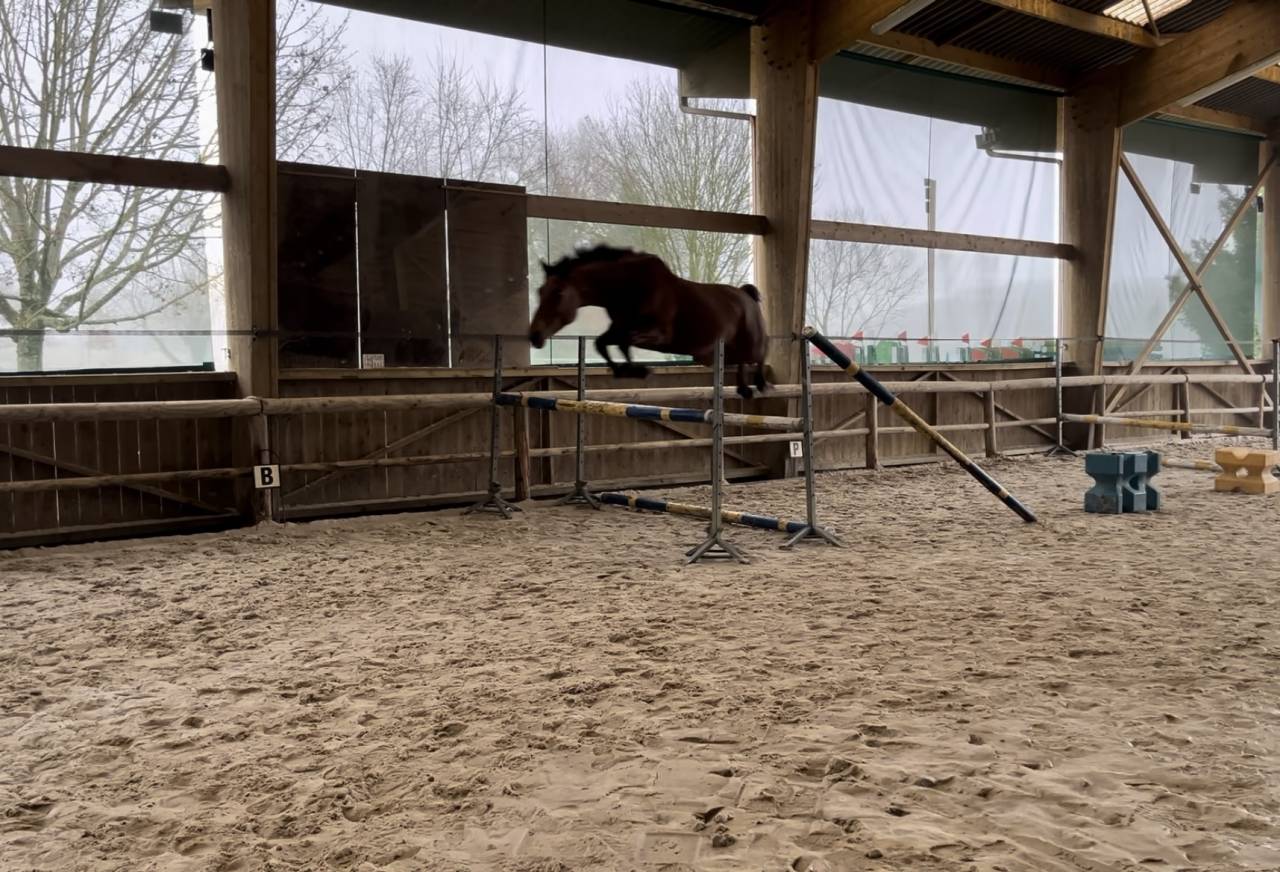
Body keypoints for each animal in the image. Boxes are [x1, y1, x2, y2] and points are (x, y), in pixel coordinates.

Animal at [527, 245, 770, 399]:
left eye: (558, 293)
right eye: (540, 291)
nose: (534, 336)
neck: (629, 286)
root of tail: (745, 294)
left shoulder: (658, 334)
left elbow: (624, 343)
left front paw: (638, 370)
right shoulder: (619, 329)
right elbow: (602, 343)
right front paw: (628, 371)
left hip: (750, 341)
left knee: (760, 354)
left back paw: (760, 384)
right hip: (721, 351)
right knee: (741, 361)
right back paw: (743, 389)